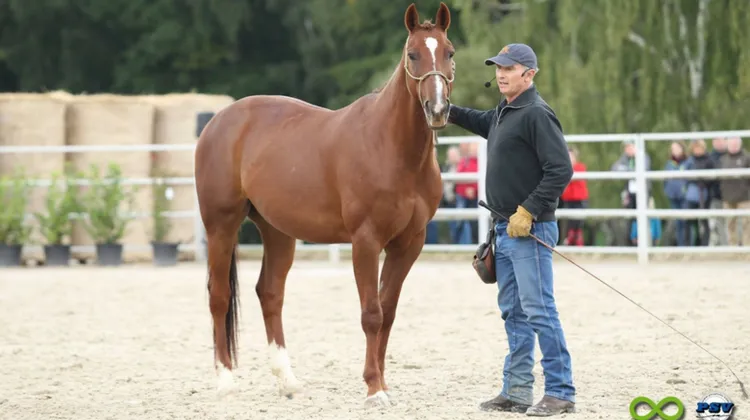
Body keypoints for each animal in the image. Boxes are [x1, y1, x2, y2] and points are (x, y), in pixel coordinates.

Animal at [193, 2, 456, 408]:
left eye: (449, 53)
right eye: (413, 54)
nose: (439, 109)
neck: (390, 147)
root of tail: (220, 120)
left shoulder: (409, 243)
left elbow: (388, 312)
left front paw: (383, 382)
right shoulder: (366, 241)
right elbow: (371, 314)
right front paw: (373, 388)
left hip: (277, 231)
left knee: (270, 294)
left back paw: (287, 380)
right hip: (221, 225)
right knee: (219, 296)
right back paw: (225, 381)